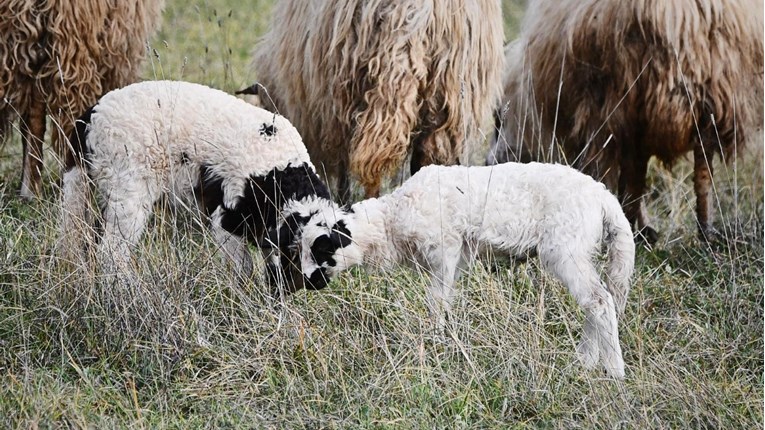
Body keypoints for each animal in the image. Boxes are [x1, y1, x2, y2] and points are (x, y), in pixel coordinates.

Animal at [61, 80, 330, 286]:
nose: (317, 283)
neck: (282, 172)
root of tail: (89, 118)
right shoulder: (227, 215)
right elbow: (242, 267)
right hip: (127, 188)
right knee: (110, 252)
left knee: (78, 238)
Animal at [266, 163, 636, 378]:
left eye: (322, 248)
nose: (308, 281)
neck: (391, 222)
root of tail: (604, 199)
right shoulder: (454, 261)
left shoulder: (445, 250)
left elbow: (436, 302)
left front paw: (434, 340)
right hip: (575, 251)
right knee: (596, 302)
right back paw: (586, 361)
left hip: (565, 249)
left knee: (599, 301)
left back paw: (613, 370)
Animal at [486, 0, 760, 242]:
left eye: (498, 120)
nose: (488, 162)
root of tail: (669, 15)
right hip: (702, 94)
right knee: (701, 169)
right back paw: (703, 231)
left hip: (625, 101)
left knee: (641, 172)